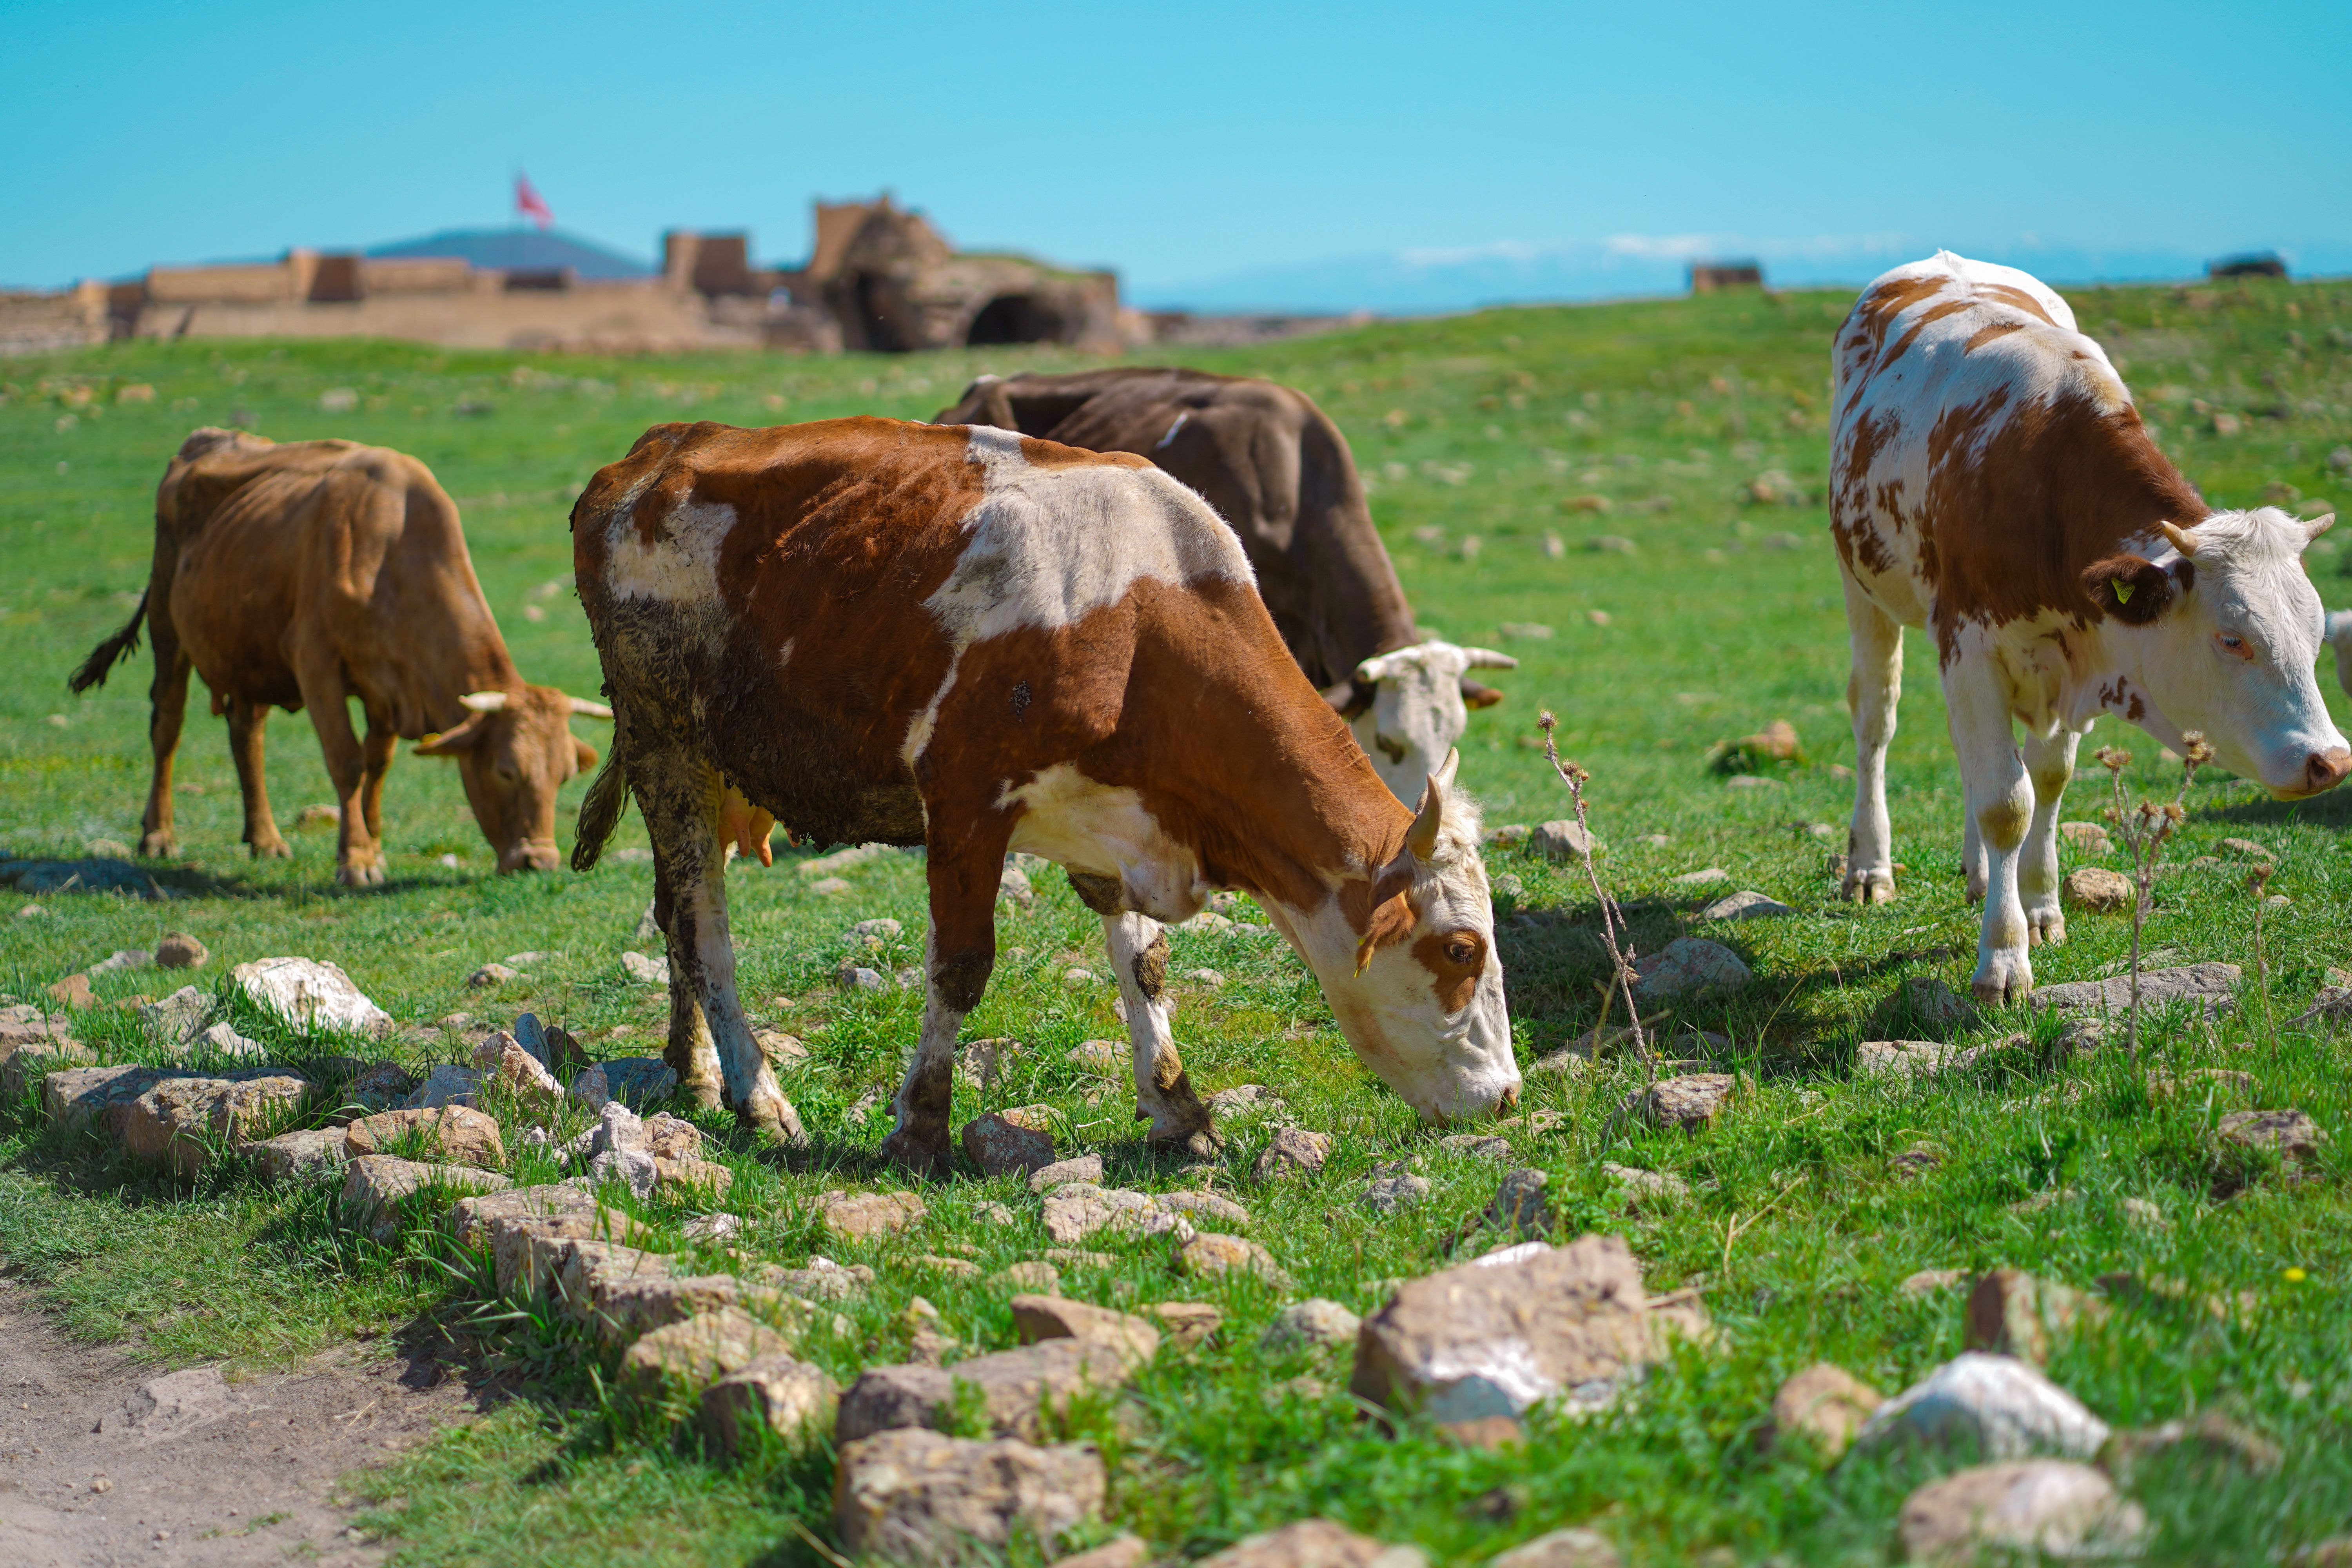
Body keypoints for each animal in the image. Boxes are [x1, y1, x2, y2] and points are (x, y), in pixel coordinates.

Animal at [71, 428, 611, 885]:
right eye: (505, 771)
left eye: (564, 775)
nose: (538, 861)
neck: (391, 552)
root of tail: (207, 440)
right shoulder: (318, 666)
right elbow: (347, 762)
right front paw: (355, 858)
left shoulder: (387, 686)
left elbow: (377, 764)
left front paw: (374, 846)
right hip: (168, 625)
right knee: (167, 724)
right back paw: (158, 834)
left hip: (248, 653)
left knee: (248, 738)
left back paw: (264, 838)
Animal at [568, 416, 1519, 1164]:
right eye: (1459, 949)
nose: (1508, 1095)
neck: (1141, 623)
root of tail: (656, 453)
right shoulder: (966, 802)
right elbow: (960, 968)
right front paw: (921, 1128)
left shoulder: (1117, 823)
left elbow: (1145, 962)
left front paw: (1179, 1107)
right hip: (668, 746)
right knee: (702, 921)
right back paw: (758, 1094)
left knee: (671, 909)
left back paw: (694, 1070)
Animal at [1831, 252, 2350, 1002]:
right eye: (2232, 639)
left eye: (2315, 639)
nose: (2330, 761)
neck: (2042, 480)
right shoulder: (1971, 647)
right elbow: (2005, 803)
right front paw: (2003, 959)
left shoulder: (2077, 658)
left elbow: (2046, 781)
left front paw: (2040, 905)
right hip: (1864, 590)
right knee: (1877, 722)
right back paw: (1869, 867)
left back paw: (1983, 875)